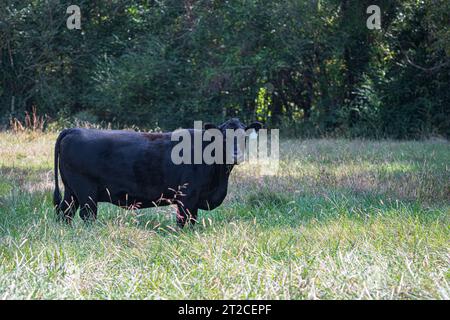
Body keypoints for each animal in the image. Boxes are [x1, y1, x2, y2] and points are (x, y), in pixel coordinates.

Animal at [53, 119, 260, 226]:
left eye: (244, 137)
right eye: (223, 137)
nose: (236, 154)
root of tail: (73, 129)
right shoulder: (187, 197)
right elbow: (184, 222)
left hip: (71, 191)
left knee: (65, 212)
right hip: (86, 191)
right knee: (86, 215)